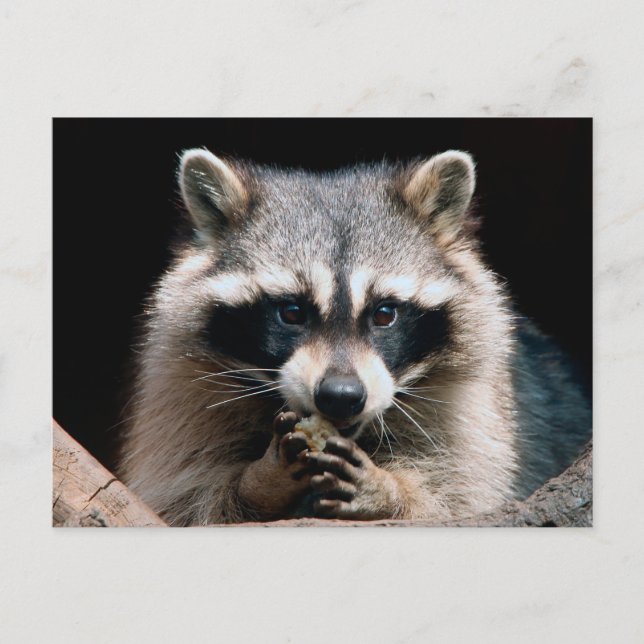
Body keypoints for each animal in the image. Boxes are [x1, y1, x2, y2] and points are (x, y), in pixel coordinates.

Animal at [118, 148, 591, 526]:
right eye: (292, 312)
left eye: (384, 314)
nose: (341, 396)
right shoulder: (184, 392)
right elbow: (182, 496)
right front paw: (258, 482)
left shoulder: (478, 410)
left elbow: (463, 497)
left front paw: (390, 491)